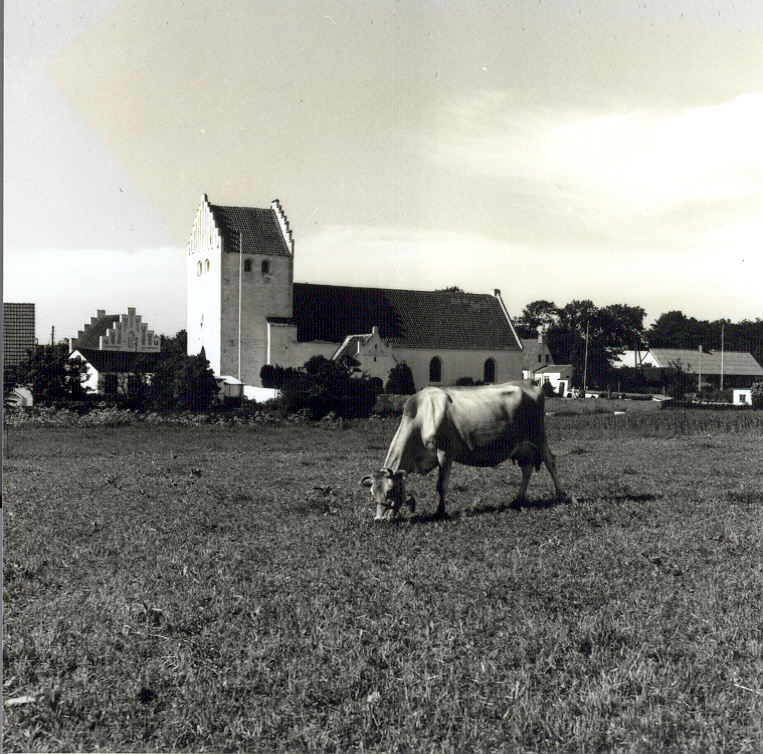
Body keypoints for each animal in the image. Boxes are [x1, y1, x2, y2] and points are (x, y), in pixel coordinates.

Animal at [362, 378, 572, 520]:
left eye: (390, 491)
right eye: (372, 493)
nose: (379, 519)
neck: (421, 416)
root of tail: (528, 382)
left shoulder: (446, 452)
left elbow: (441, 485)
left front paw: (440, 511)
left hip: (538, 437)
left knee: (551, 462)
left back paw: (561, 495)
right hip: (522, 447)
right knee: (527, 469)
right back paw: (517, 499)